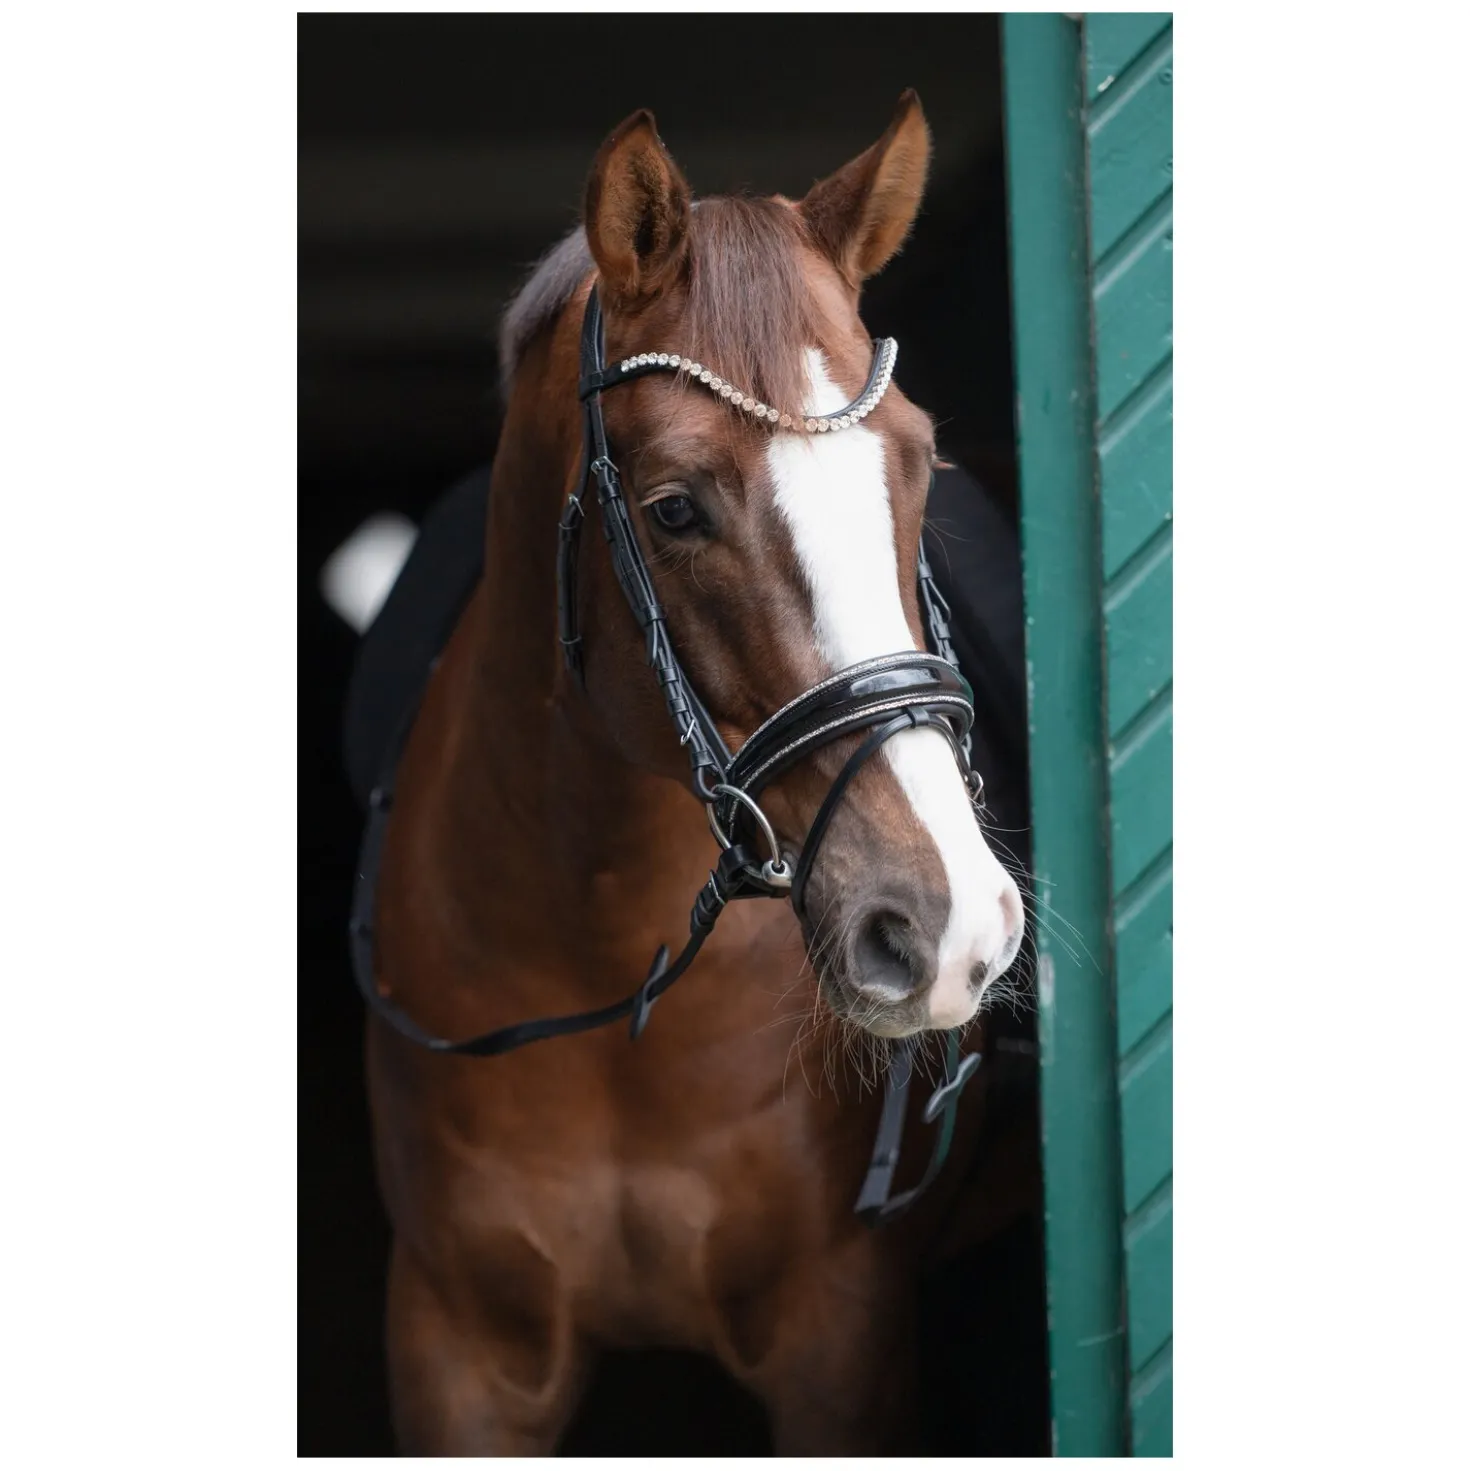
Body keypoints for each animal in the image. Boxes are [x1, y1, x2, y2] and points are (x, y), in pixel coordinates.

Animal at [359, 91, 1028, 1455]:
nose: (946, 925)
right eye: (672, 508)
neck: (605, 966)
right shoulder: (460, 1353)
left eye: (915, 461)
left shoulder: (840, 1345)